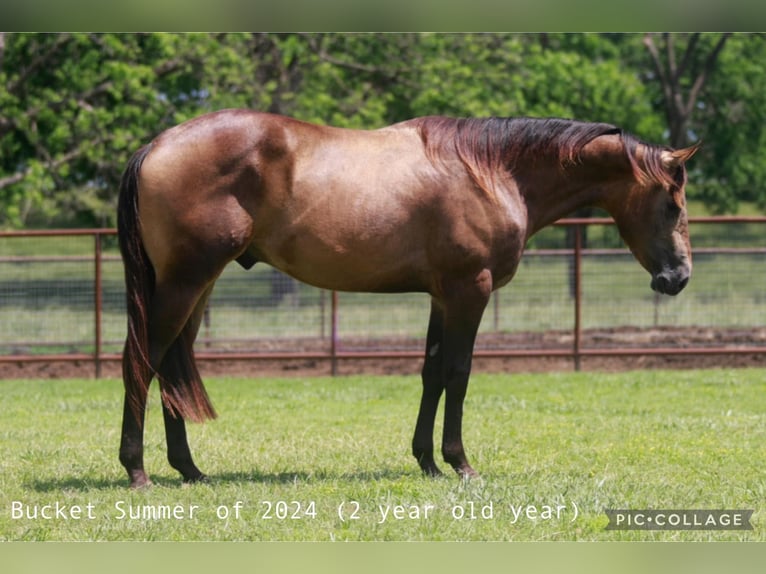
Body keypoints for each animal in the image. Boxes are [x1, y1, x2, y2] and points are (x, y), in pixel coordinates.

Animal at [115, 110, 704, 488]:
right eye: (673, 205)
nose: (678, 278)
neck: (492, 171)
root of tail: (155, 146)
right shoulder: (470, 291)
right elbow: (459, 374)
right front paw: (460, 463)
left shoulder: (443, 297)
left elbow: (431, 373)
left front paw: (426, 461)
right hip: (184, 283)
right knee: (141, 360)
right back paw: (138, 471)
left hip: (198, 287)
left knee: (170, 366)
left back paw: (189, 470)